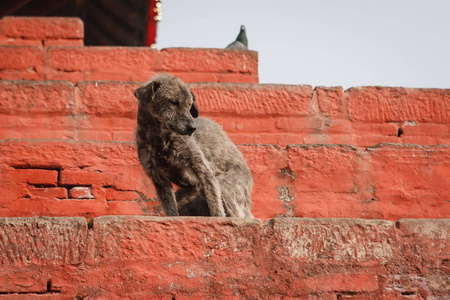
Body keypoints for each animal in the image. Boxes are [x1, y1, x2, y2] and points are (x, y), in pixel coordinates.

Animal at [134, 73, 253, 217]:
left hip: (227, 186)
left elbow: (213, 196)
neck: (159, 137)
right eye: (173, 102)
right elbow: (170, 208)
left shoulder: (202, 167)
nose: (192, 128)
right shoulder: (158, 177)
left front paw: (217, 215)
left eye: (189, 105)